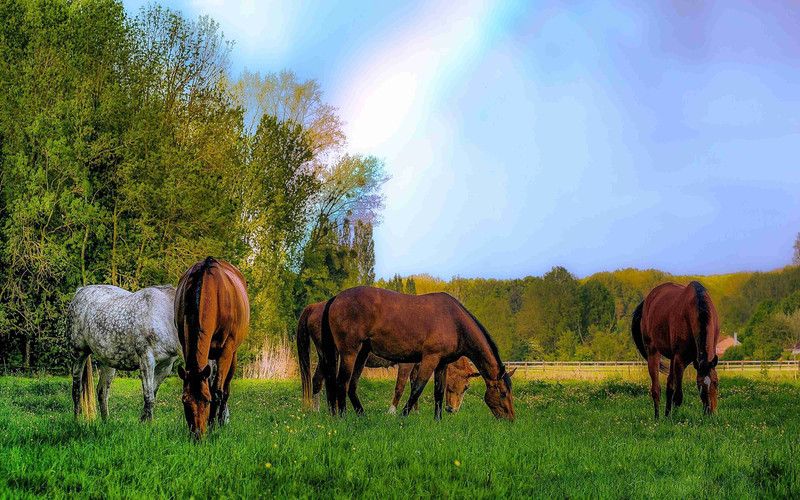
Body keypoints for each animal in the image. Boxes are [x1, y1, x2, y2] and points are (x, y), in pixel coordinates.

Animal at [68, 285, 180, 421]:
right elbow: (149, 398)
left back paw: (106, 422)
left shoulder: (165, 366)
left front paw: (143, 421)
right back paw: (77, 421)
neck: (164, 315)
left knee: (102, 391)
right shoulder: (147, 361)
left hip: (108, 361)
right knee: (77, 389)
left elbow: (151, 396)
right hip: (78, 354)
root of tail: (80, 290)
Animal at [175, 257, 249, 439]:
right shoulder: (186, 345)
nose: (197, 436)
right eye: (184, 401)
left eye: (206, 401)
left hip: (233, 355)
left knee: (226, 388)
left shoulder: (226, 350)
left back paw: (221, 420)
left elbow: (217, 390)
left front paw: (213, 426)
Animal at [297, 301, 480, 413]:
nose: (452, 410)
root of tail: (316, 306)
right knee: (318, 381)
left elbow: (414, 385)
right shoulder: (407, 364)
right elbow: (400, 387)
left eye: (466, 388)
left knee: (317, 381)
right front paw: (391, 412)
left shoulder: (418, 364)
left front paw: (415, 411)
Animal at [319, 286, 515, 420]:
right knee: (341, 383)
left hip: (360, 354)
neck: (454, 322)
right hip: (349, 353)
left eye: (466, 388)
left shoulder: (441, 364)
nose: (511, 419)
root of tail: (335, 299)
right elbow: (416, 389)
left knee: (350, 385)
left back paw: (360, 416)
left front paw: (437, 420)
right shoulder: (428, 359)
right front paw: (401, 417)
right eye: (503, 393)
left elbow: (438, 392)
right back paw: (342, 417)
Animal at [632, 281, 720, 418]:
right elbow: (678, 397)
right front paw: (675, 419)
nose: (711, 412)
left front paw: (670, 416)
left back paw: (667, 415)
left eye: (716, 383)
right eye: (699, 385)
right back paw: (657, 418)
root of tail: (647, 300)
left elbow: (672, 389)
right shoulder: (680, 359)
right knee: (656, 389)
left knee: (669, 385)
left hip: (672, 358)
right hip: (653, 352)